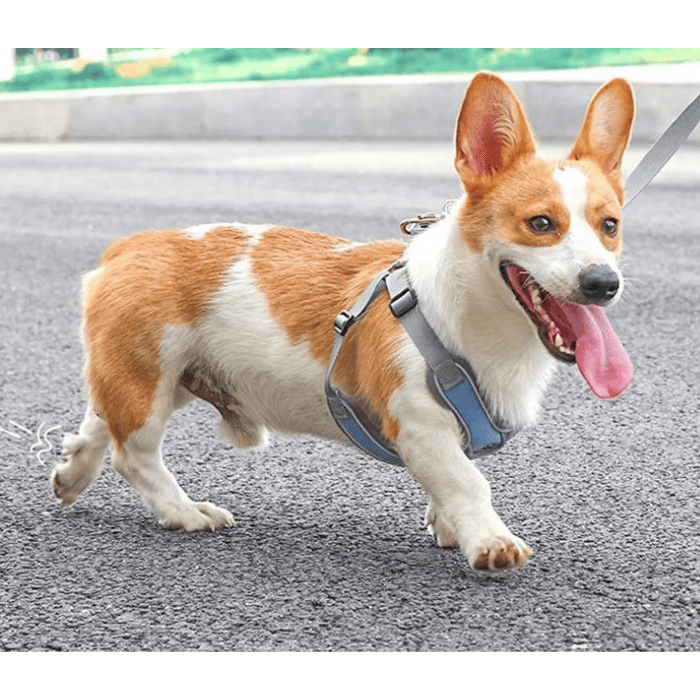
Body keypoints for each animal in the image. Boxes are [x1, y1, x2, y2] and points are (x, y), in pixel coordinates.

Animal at [52, 72, 636, 576]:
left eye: (610, 226)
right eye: (540, 223)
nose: (603, 283)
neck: (479, 321)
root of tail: (127, 246)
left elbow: (447, 487)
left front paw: (448, 525)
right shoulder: (419, 422)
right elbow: (468, 482)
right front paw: (490, 540)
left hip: (159, 378)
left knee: (99, 421)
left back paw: (72, 474)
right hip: (149, 379)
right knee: (135, 454)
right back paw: (186, 512)